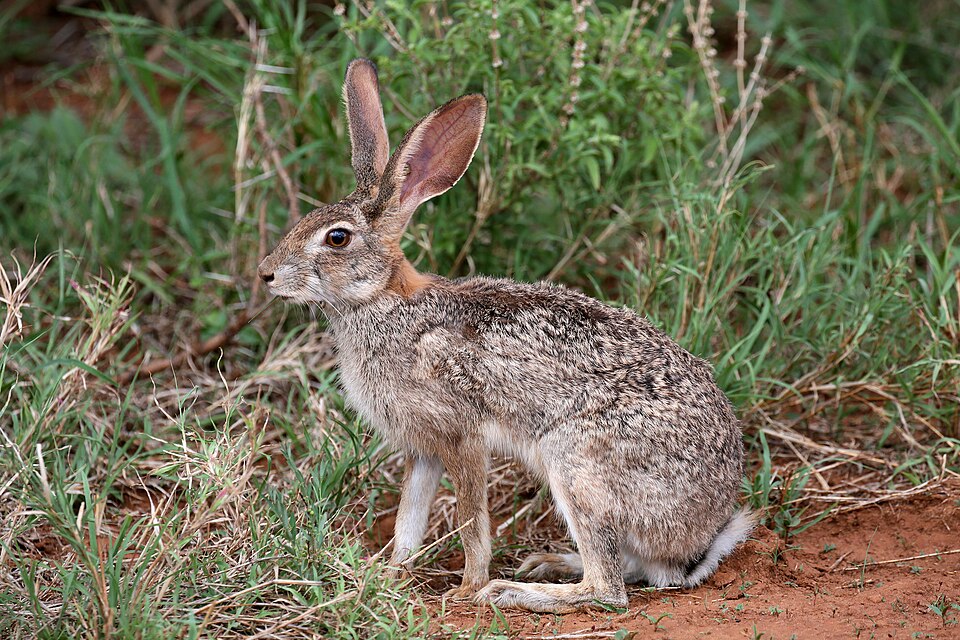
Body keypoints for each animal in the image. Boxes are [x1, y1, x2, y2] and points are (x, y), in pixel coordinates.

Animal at [257, 58, 754, 613]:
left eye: (337, 238)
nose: (267, 274)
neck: (382, 300)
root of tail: (701, 538)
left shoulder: (460, 435)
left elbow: (471, 519)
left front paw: (467, 587)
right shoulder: (424, 449)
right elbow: (409, 517)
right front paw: (389, 572)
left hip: (577, 461)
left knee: (609, 590)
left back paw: (513, 591)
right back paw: (547, 563)